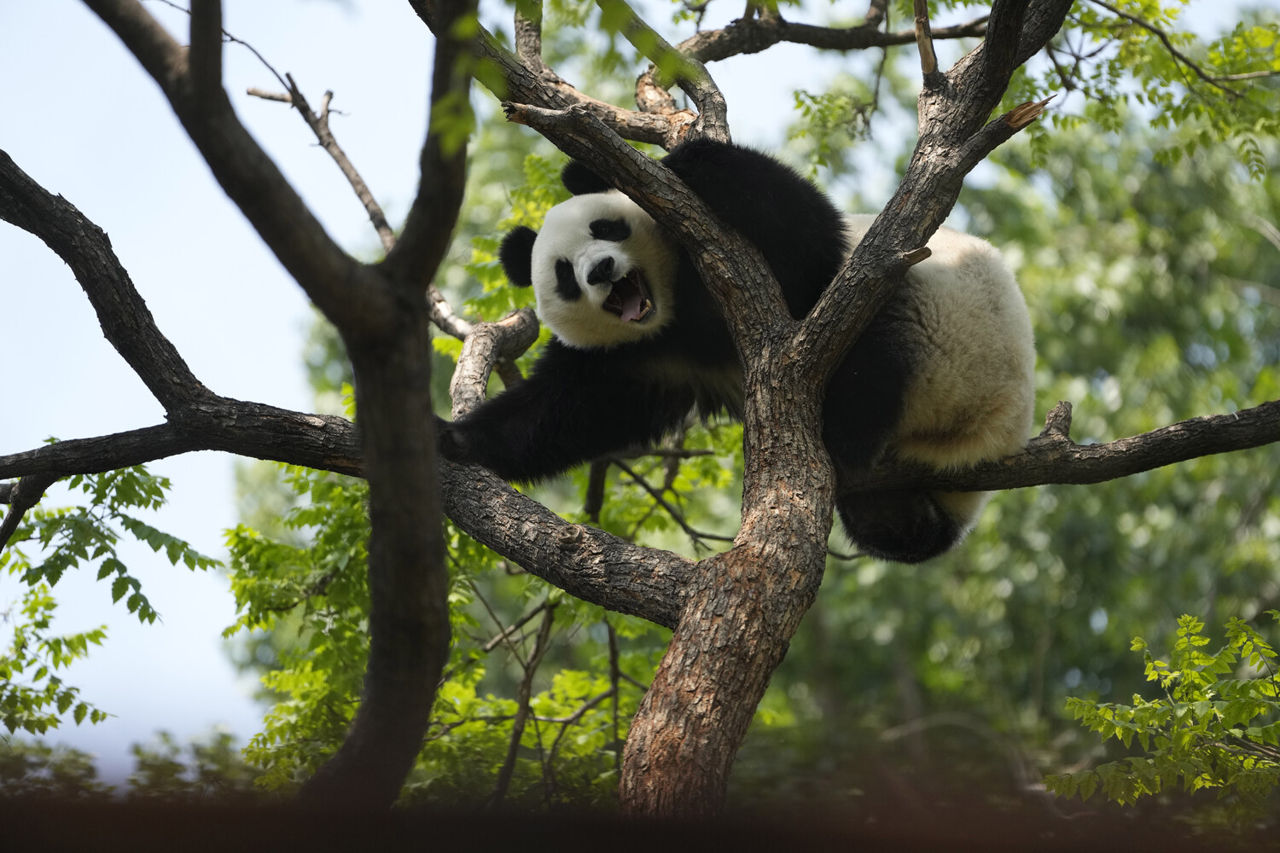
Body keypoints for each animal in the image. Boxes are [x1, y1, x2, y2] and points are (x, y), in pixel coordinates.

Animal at [437, 139, 1035, 563]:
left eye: (604, 226)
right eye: (564, 274)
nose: (601, 271)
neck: (676, 306)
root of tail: (987, 436)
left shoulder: (766, 255)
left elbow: (804, 230)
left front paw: (652, 161)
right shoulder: (637, 358)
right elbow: (563, 411)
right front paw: (452, 438)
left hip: (948, 327)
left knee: (873, 352)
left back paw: (834, 439)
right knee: (890, 523)